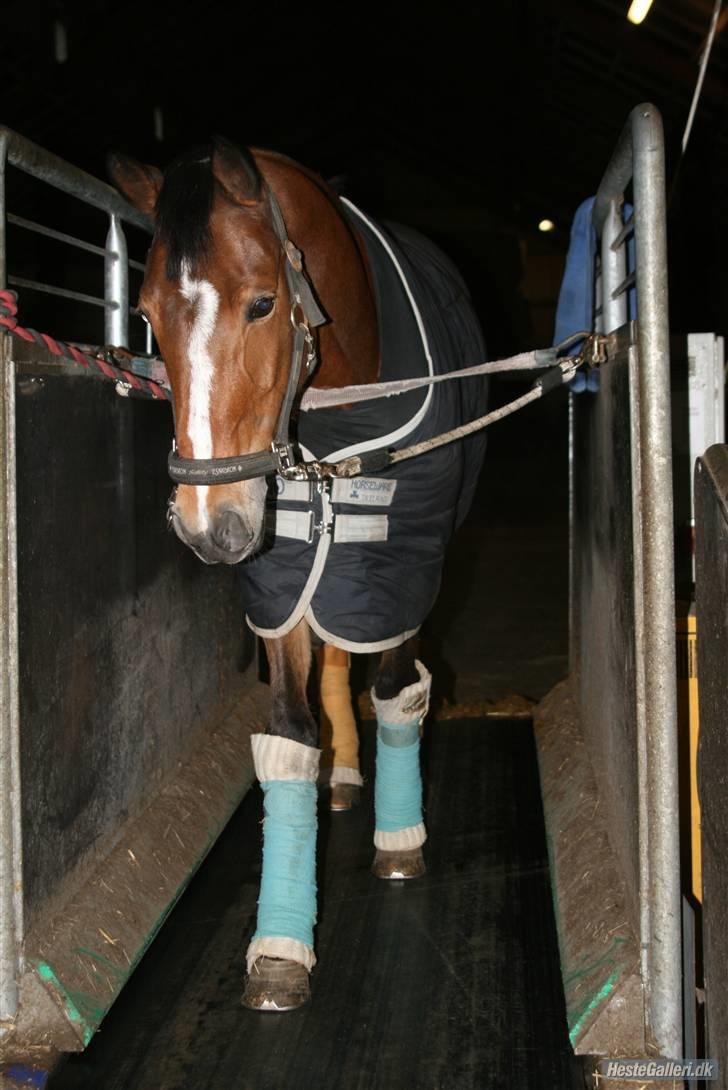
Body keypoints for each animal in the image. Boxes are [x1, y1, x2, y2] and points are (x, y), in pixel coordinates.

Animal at [109, 138, 488, 1011]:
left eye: (260, 304)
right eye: (145, 314)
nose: (210, 526)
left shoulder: (399, 563)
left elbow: (397, 690)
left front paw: (399, 840)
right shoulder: (282, 575)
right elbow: (289, 727)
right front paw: (281, 945)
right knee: (333, 663)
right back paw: (343, 770)